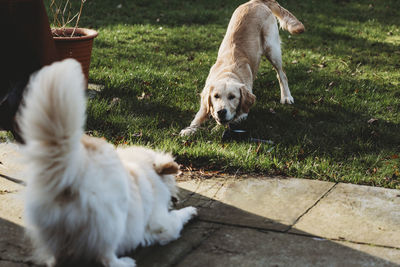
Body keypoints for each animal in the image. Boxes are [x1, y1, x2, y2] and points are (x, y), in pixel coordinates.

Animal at [18, 59, 197, 267]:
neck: (145, 170)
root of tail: (68, 172)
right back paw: (125, 262)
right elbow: (178, 218)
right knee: (106, 258)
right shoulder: (163, 223)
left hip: (54, 235)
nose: (175, 199)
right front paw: (191, 211)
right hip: (111, 225)